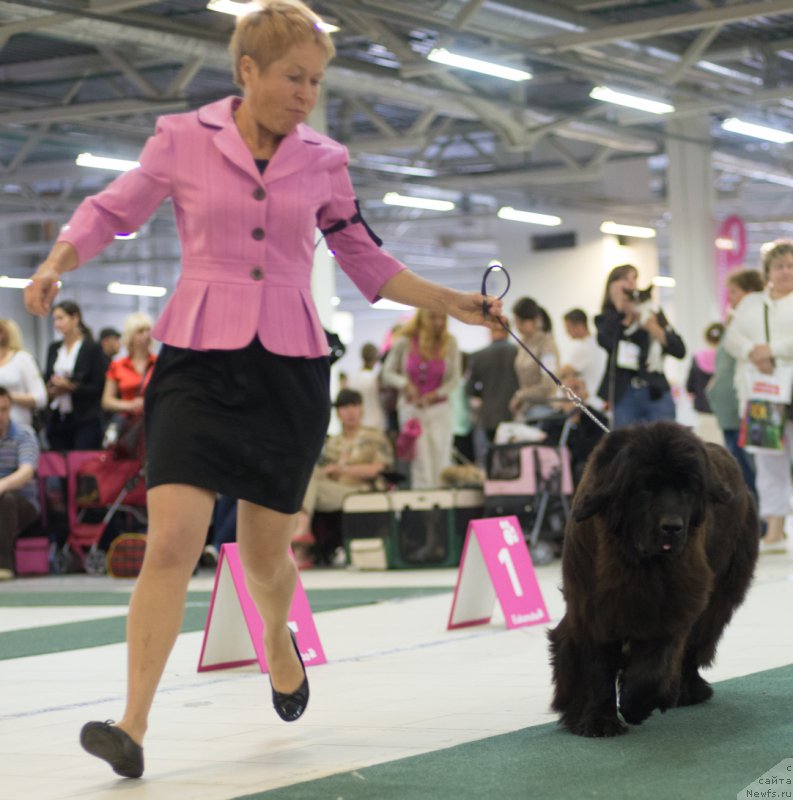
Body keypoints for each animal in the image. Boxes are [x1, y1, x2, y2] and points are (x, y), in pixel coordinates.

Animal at [548, 418, 756, 736]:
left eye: (687, 489)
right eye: (644, 488)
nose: (672, 527)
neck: (634, 562)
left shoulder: (673, 603)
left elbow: (656, 663)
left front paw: (635, 704)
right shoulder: (592, 607)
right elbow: (597, 665)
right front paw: (599, 721)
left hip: (720, 594)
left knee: (695, 644)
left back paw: (688, 691)